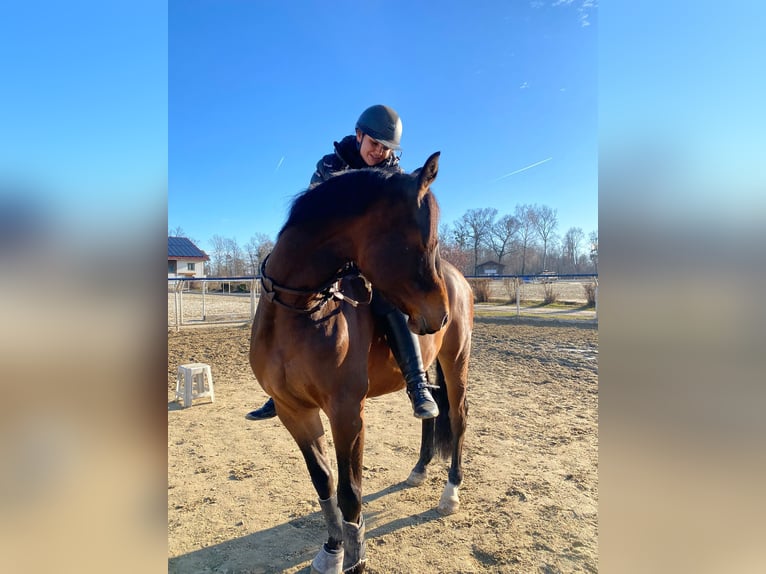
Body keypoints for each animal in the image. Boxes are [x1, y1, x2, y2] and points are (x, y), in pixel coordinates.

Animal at [250, 153, 474, 574]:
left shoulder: (347, 413)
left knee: (458, 417)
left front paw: (356, 559)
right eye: (420, 241)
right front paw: (333, 550)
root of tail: (460, 281)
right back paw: (420, 468)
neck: (298, 308)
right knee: (432, 410)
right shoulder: (294, 411)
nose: (440, 316)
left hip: (456, 361)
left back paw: (450, 492)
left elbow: (349, 492)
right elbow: (323, 484)